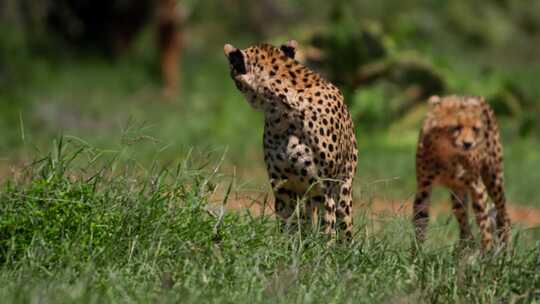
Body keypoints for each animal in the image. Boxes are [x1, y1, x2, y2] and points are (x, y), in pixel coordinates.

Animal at [224, 41, 358, 240]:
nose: (232, 80)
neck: (284, 112)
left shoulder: (323, 190)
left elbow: (327, 230)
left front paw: (323, 247)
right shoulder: (283, 187)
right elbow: (287, 225)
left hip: (342, 193)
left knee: (343, 227)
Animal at [414, 95, 510, 252]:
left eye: (475, 129)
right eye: (456, 127)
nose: (468, 143)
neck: (446, 152)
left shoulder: (477, 187)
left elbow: (484, 224)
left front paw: (487, 252)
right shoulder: (423, 186)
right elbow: (419, 221)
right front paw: (416, 253)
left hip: (494, 178)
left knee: (503, 214)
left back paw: (505, 249)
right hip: (457, 192)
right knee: (464, 225)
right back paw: (465, 249)